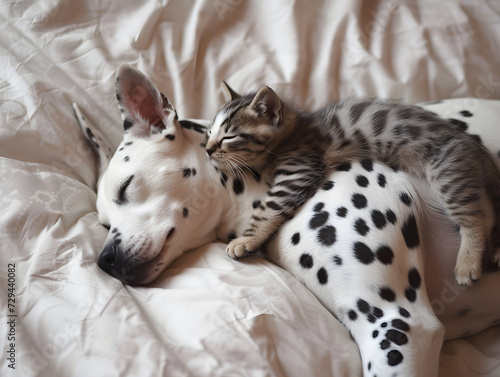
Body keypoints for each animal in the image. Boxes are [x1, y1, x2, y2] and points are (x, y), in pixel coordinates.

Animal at [204, 85, 500, 284]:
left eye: (228, 137)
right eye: (209, 133)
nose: (207, 150)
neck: (293, 134)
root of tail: (476, 148)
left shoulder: (298, 171)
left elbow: (266, 209)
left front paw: (246, 239)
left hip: (446, 174)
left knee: (475, 220)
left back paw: (468, 264)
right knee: (487, 211)